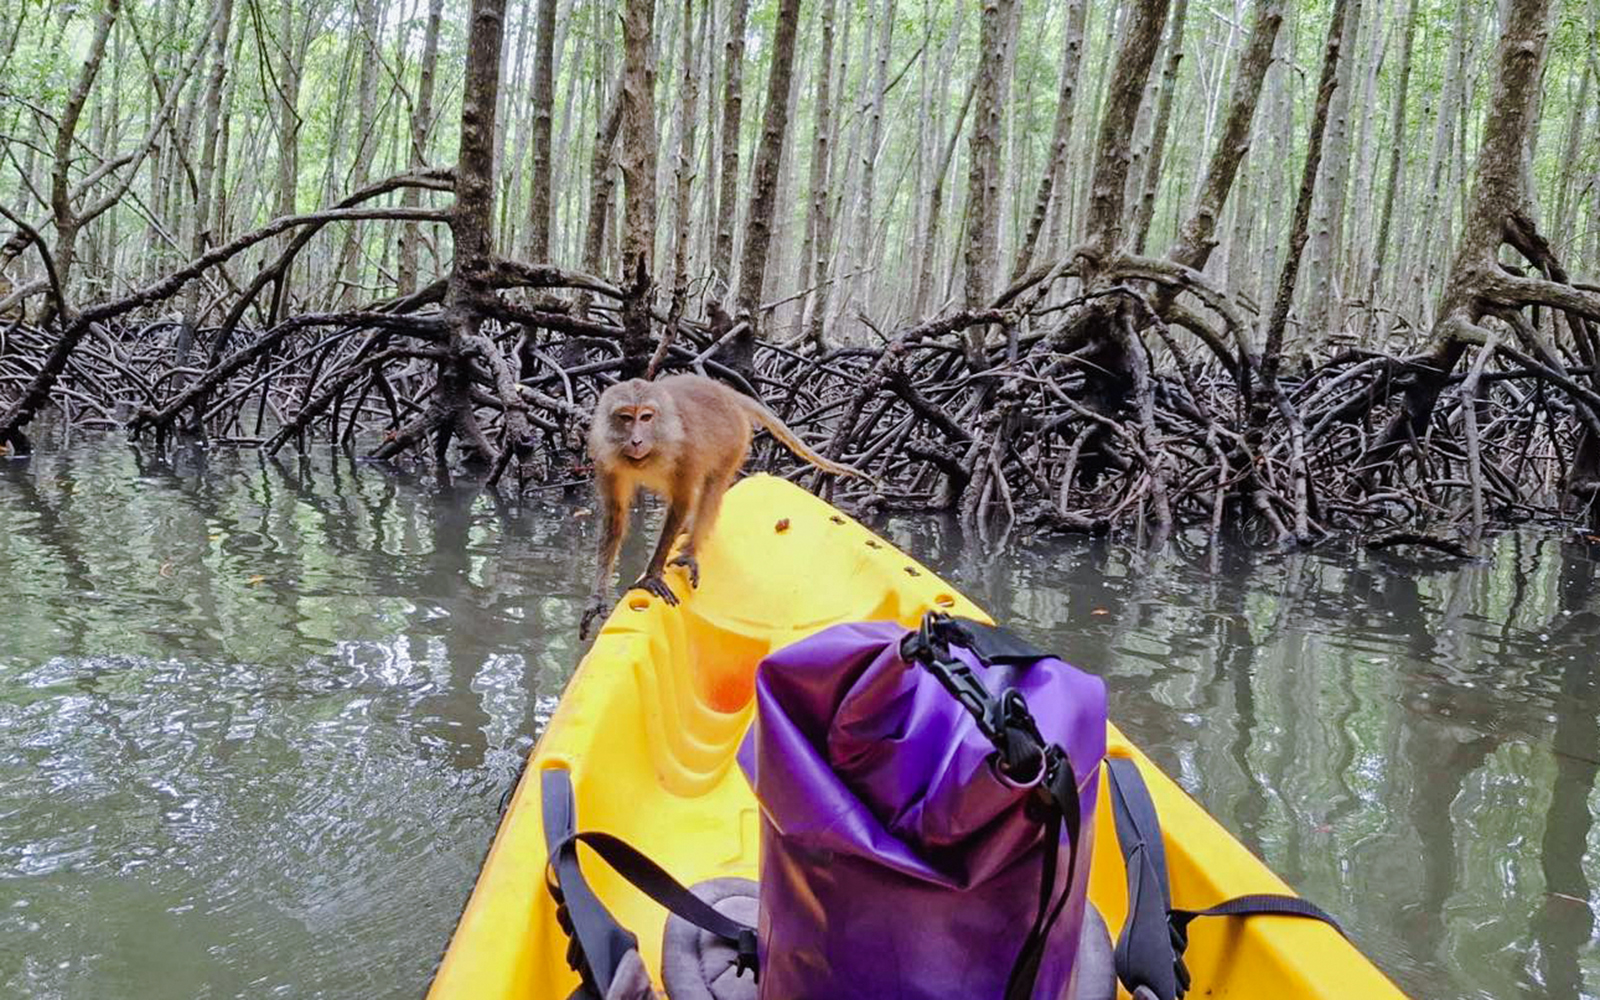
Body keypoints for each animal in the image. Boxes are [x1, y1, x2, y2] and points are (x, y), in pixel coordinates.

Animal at [579, 373, 867, 638]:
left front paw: (652, 575)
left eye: (646, 417)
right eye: (626, 418)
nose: (637, 441)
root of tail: (726, 393)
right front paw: (597, 597)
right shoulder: (605, 459)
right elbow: (615, 515)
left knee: (712, 486)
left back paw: (691, 551)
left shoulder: (687, 449)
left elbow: (682, 502)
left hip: (736, 437)